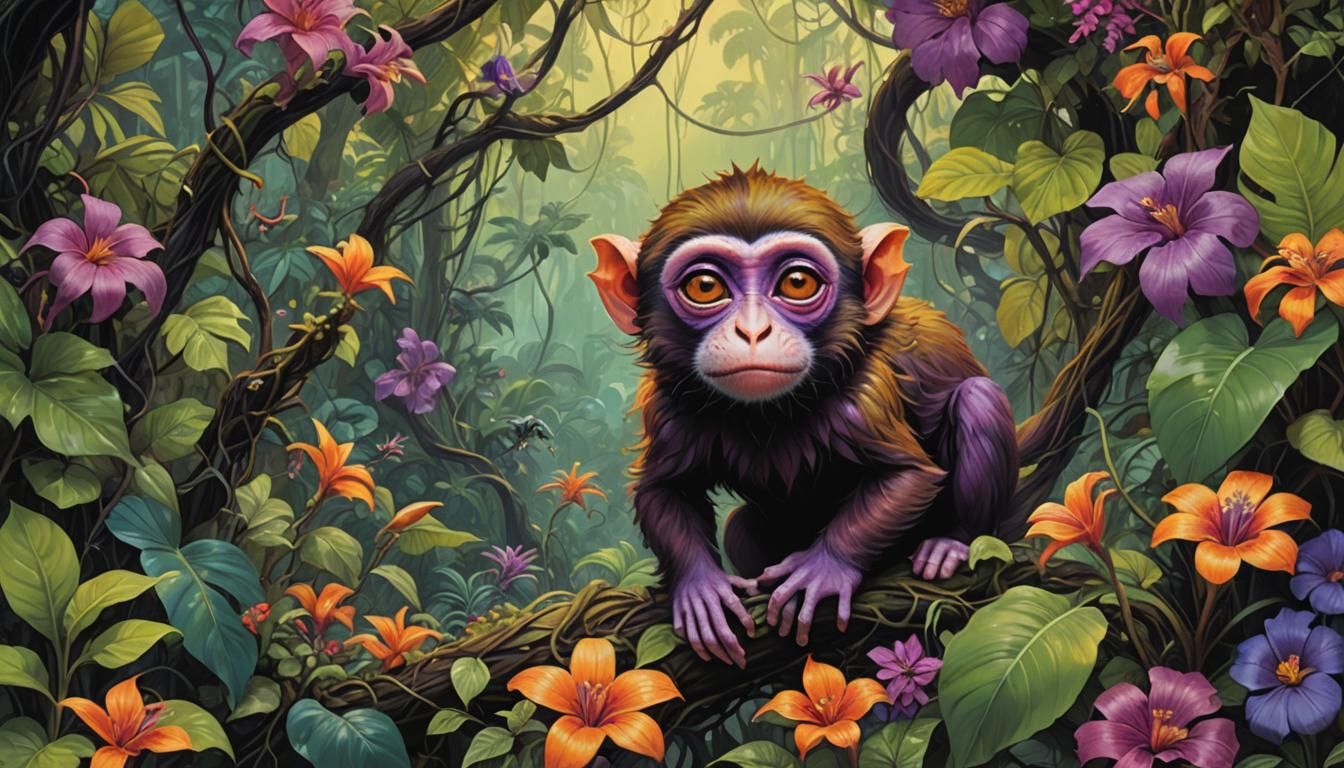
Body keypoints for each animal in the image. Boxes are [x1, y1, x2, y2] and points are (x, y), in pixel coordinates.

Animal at [587, 164, 1019, 667]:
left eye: (797, 283)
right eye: (705, 287)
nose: (753, 331)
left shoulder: (865, 396)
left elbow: (909, 476)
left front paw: (823, 569)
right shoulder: (668, 406)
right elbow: (664, 490)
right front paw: (700, 589)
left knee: (978, 400)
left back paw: (955, 540)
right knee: (740, 528)